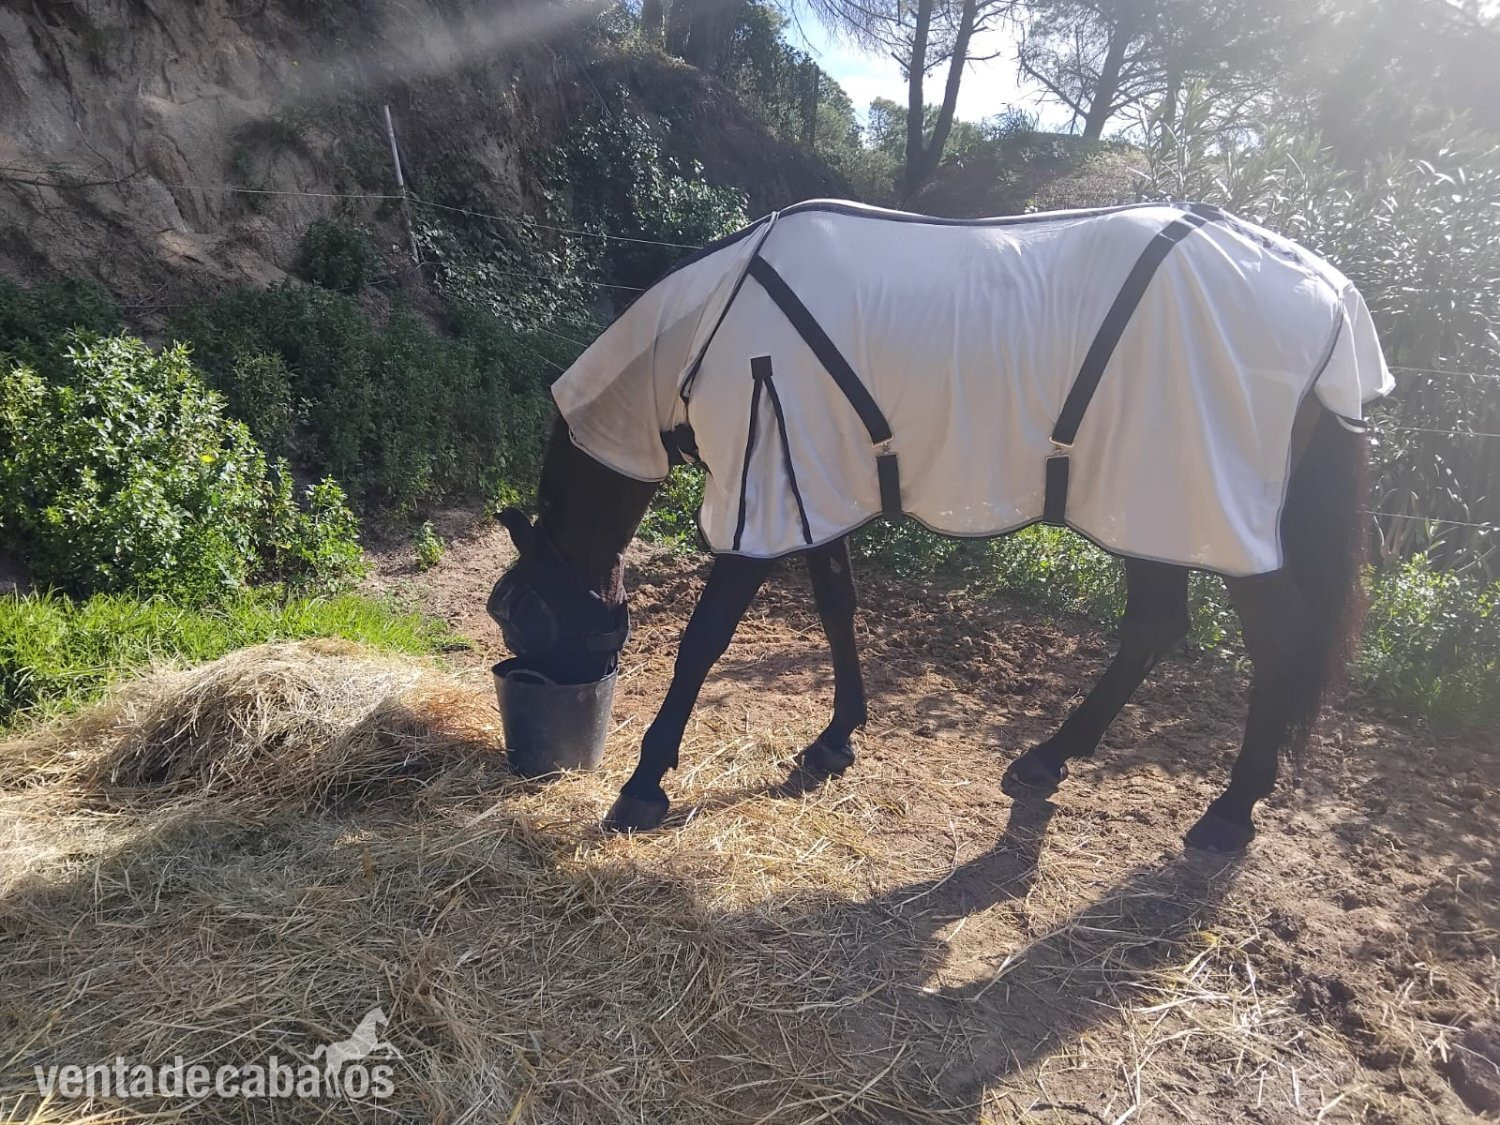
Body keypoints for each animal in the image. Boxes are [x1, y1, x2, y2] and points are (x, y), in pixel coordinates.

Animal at [488, 200, 1390, 854]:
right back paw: (1049, 759)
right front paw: (834, 740)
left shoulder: (762, 490)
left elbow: (704, 637)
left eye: (523, 612)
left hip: (1199, 511)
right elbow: (838, 609)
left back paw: (1229, 811)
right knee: (1157, 624)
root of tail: (1330, 292)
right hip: (1148, 507)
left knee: (1271, 640)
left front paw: (642, 786)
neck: (708, 324)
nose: (546, 734)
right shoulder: (815, 485)